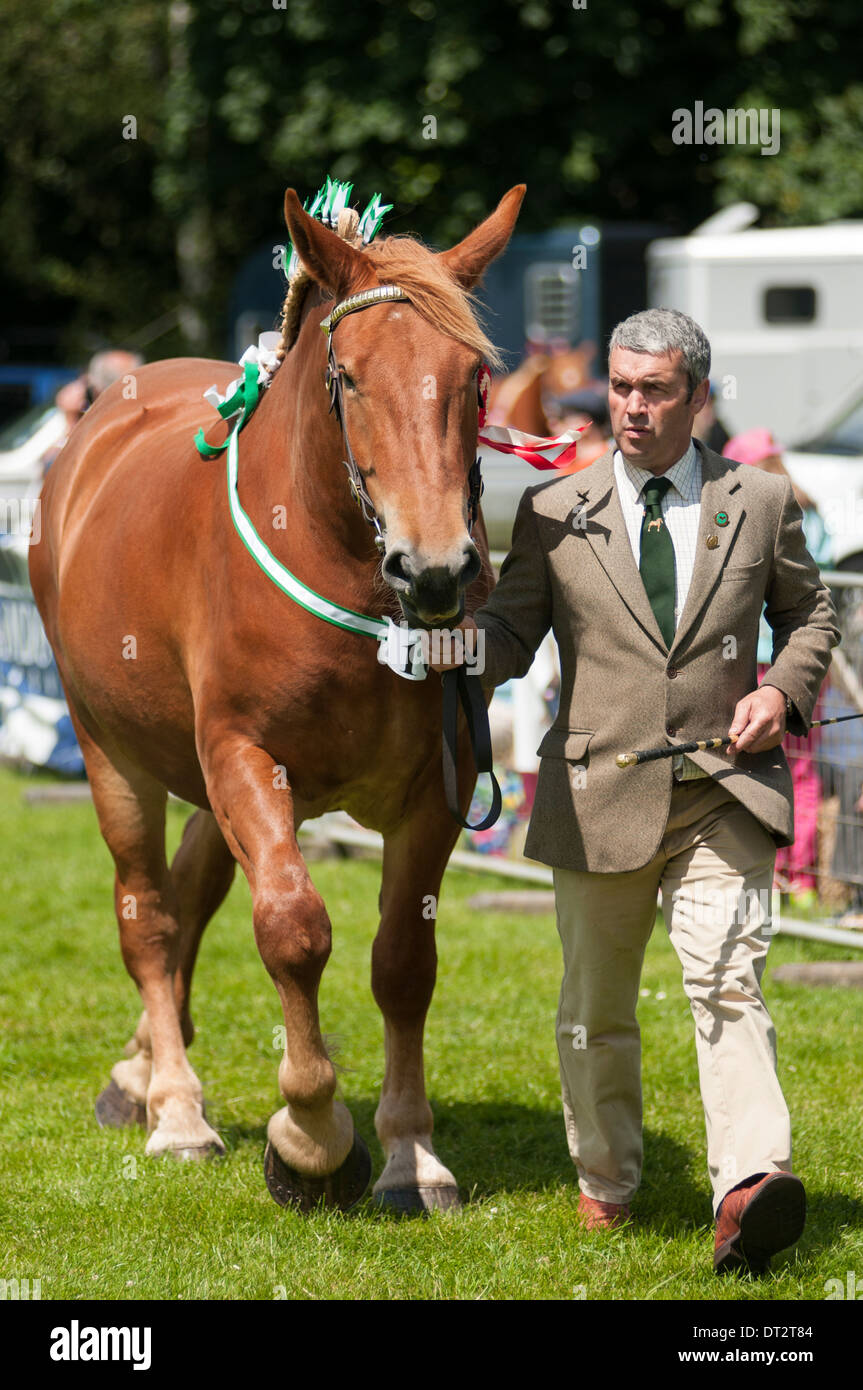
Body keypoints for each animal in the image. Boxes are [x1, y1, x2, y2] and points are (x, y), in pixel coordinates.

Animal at [29, 183, 525, 1214]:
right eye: (349, 376)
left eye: (473, 378)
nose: (434, 570)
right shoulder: (244, 757)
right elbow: (293, 930)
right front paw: (311, 1136)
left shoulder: (438, 787)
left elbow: (401, 963)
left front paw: (411, 1152)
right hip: (113, 752)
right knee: (149, 914)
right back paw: (175, 1106)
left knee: (193, 888)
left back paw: (140, 1068)